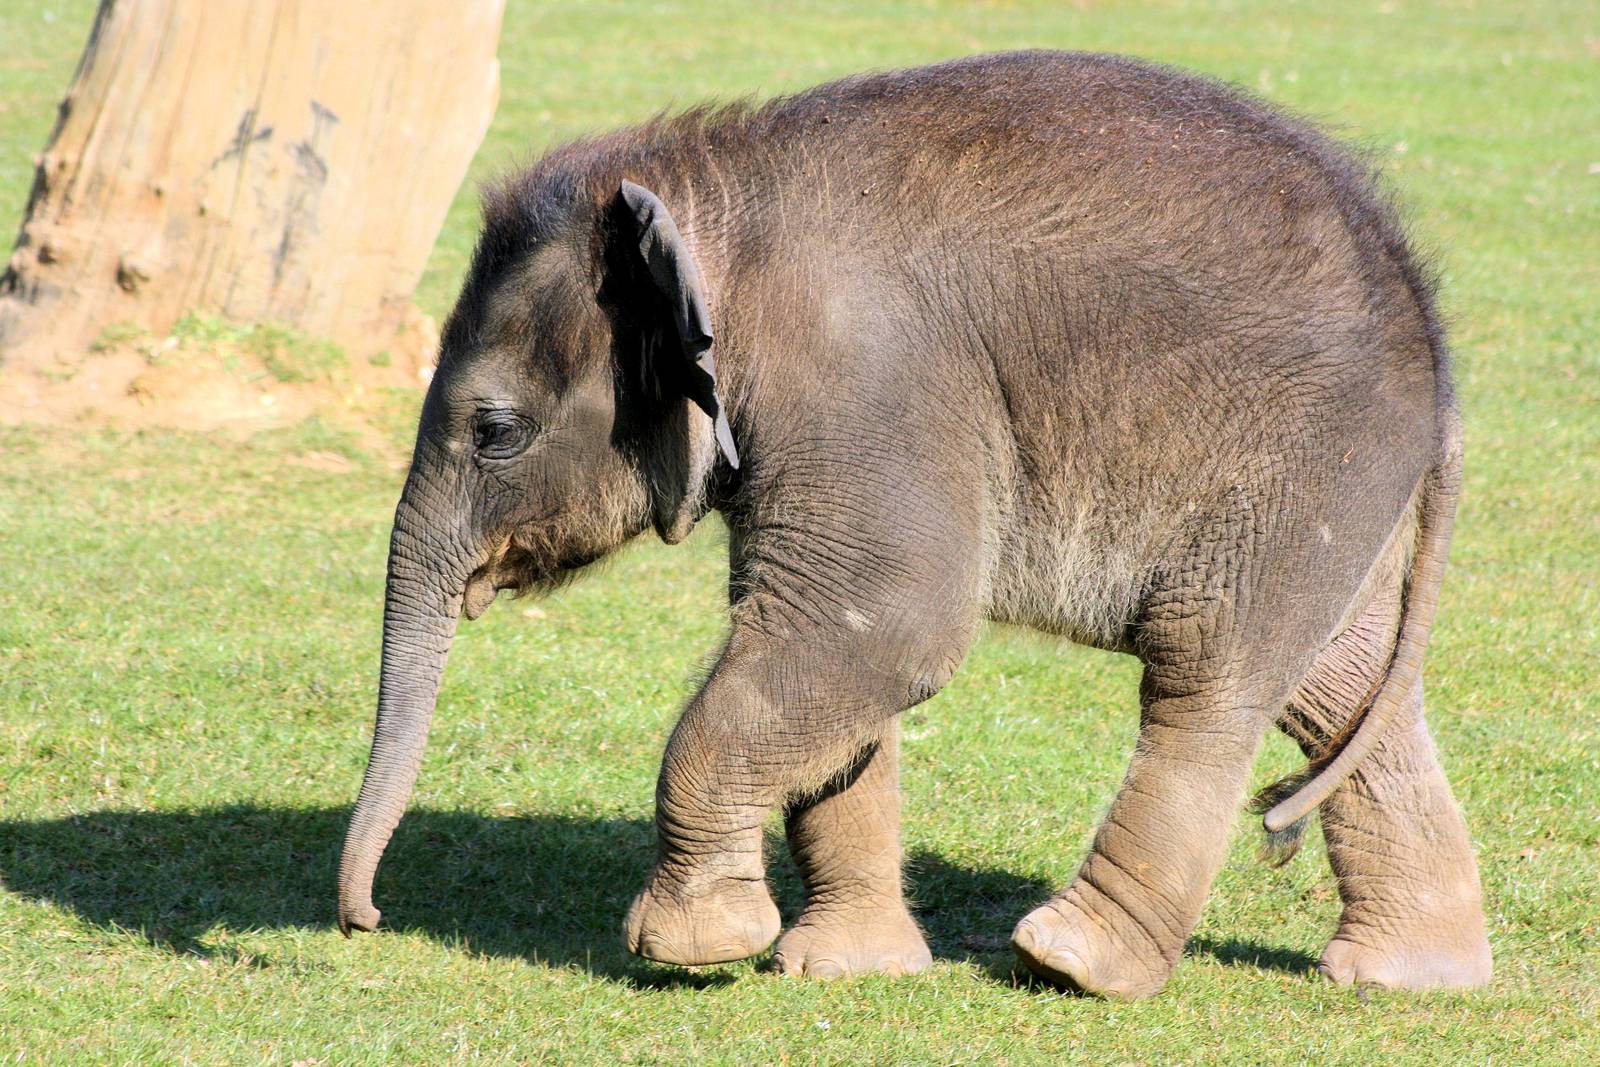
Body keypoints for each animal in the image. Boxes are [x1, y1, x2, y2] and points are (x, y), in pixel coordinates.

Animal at [336, 50, 1491, 997]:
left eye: (495, 432)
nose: (367, 918)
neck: (701, 189)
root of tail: (1429, 321)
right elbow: (828, 654)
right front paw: (841, 965)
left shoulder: (864, 375)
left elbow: (890, 623)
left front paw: (694, 946)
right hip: (1336, 491)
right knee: (1338, 687)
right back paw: (1405, 974)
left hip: (1294, 461)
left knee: (1207, 675)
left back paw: (1071, 962)